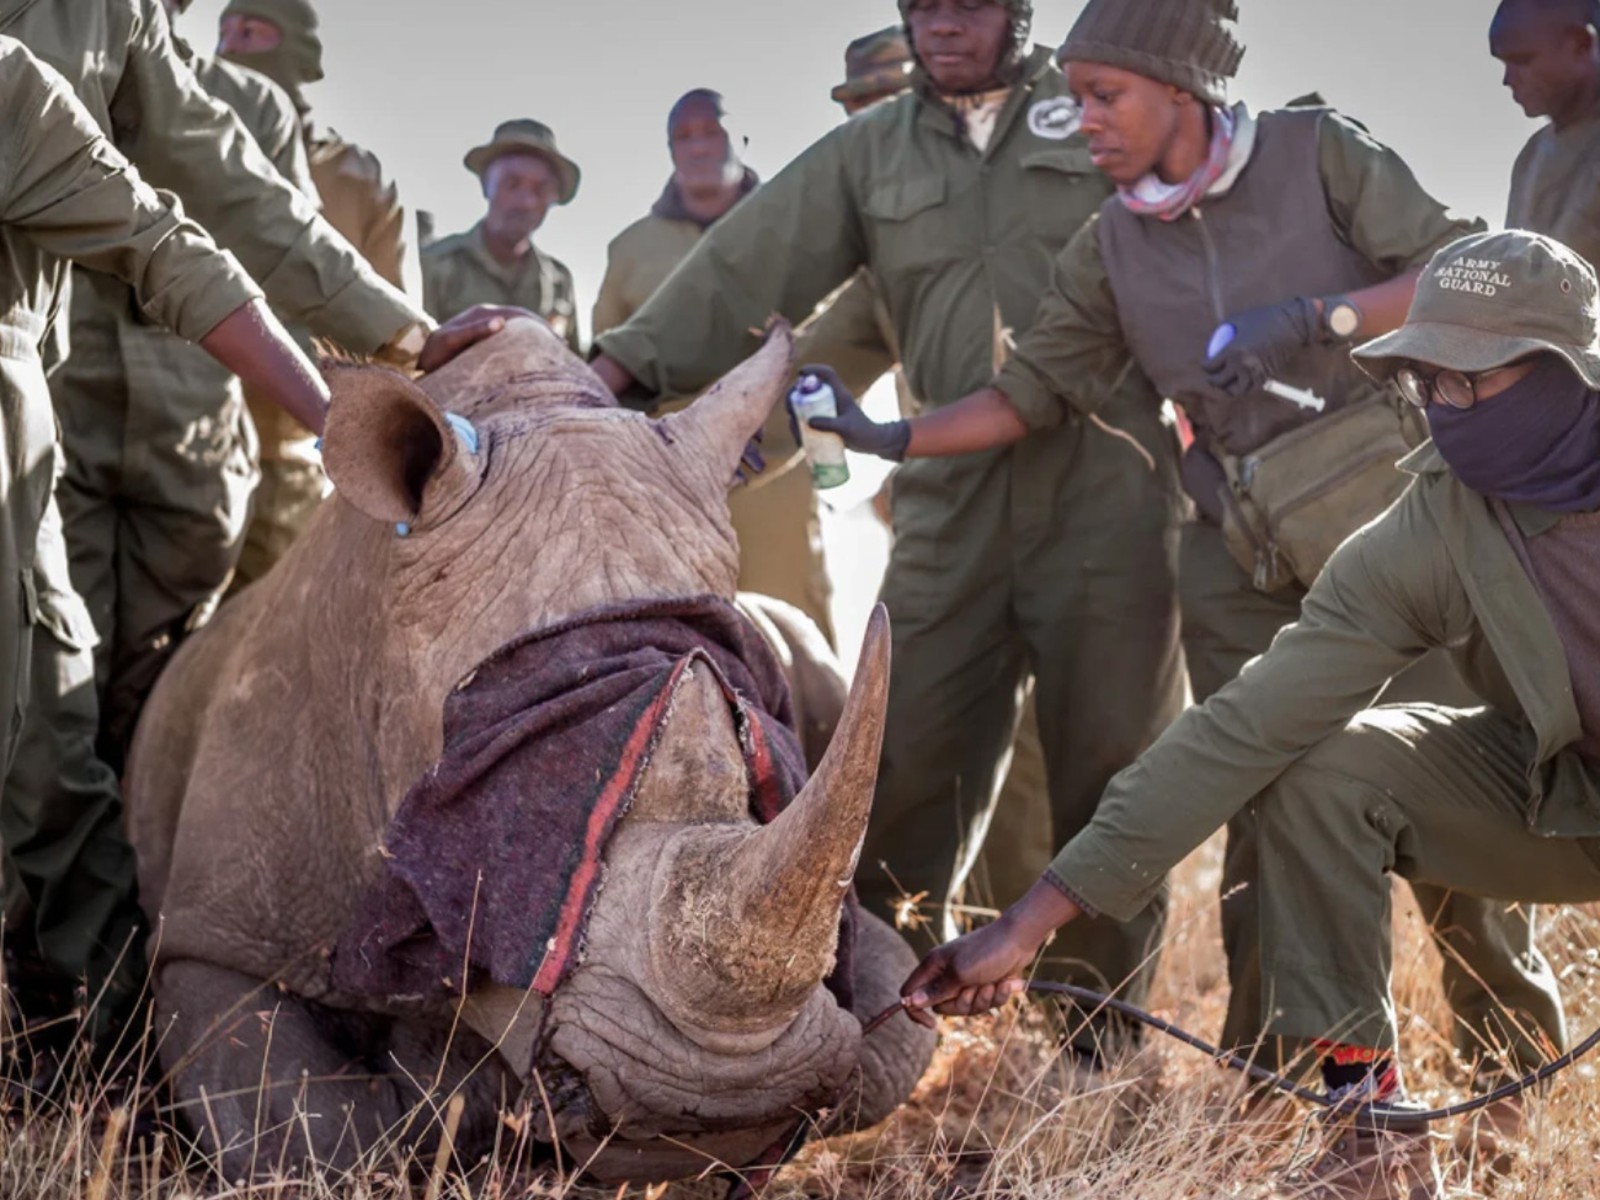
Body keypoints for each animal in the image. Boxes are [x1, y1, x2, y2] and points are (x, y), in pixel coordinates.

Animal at [124, 319, 936, 1185]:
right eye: (524, 801)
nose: (718, 1102)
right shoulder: (215, 938)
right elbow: (306, 1130)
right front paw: (454, 1104)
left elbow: (892, 1040)